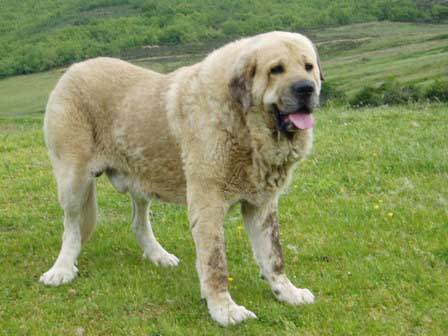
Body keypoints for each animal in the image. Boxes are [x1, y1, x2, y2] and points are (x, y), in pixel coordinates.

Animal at [40, 31, 324, 326]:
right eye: (276, 69)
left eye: (308, 67)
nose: (306, 88)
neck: (244, 122)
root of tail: (73, 69)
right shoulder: (208, 204)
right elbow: (215, 262)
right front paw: (224, 309)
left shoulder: (261, 205)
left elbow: (273, 254)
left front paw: (287, 292)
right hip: (74, 180)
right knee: (71, 227)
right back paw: (61, 269)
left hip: (140, 175)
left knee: (138, 222)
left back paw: (159, 256)